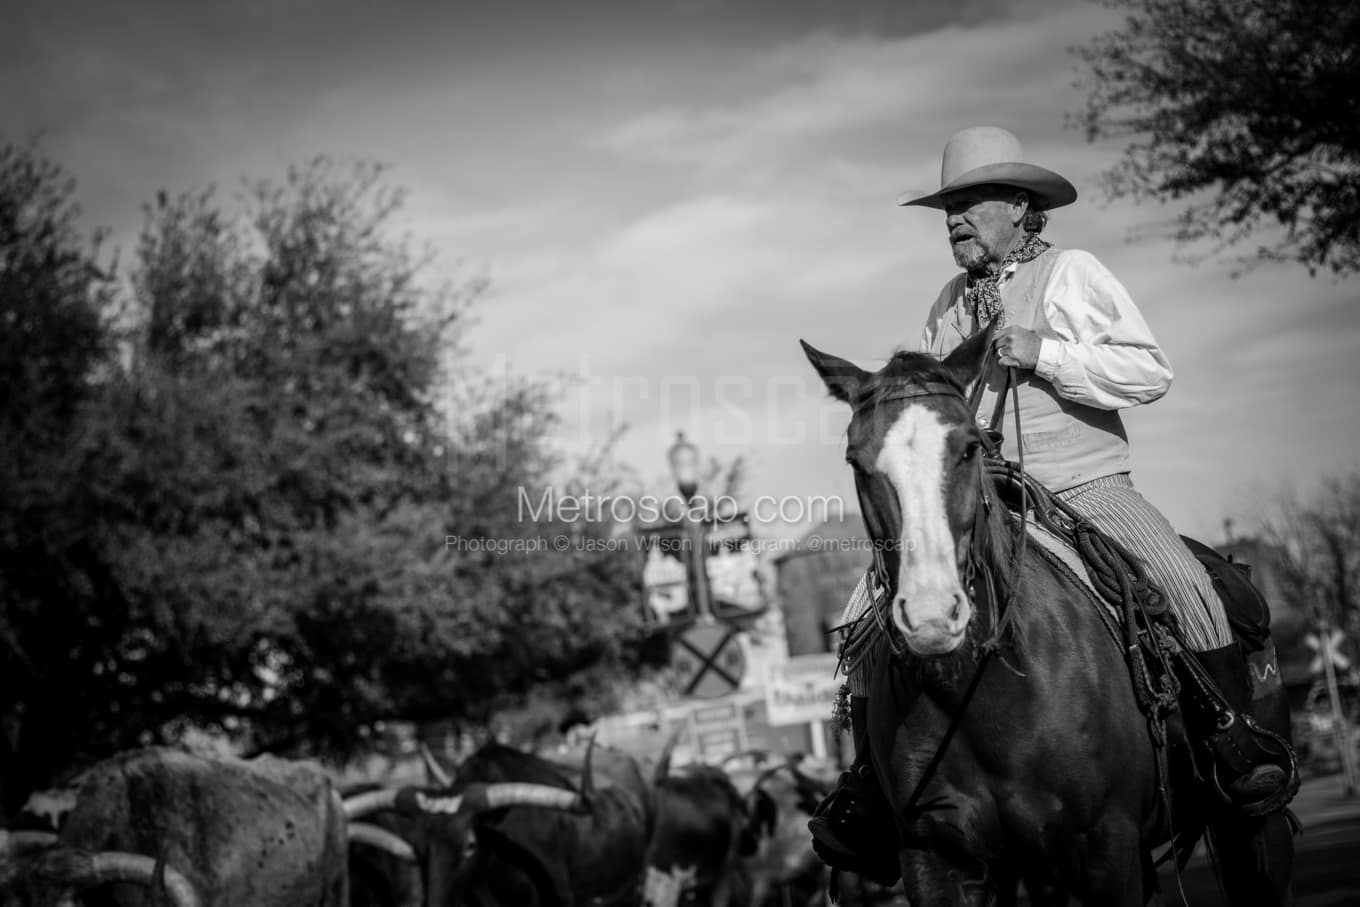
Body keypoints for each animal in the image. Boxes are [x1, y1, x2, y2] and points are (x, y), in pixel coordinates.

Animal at [805, 331, 1294, 907]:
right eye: (856, 460)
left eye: (969, 448)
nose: (930, 616)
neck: (983, 693)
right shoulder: (938, 860)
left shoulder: (1108, 854)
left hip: (1253, 826)